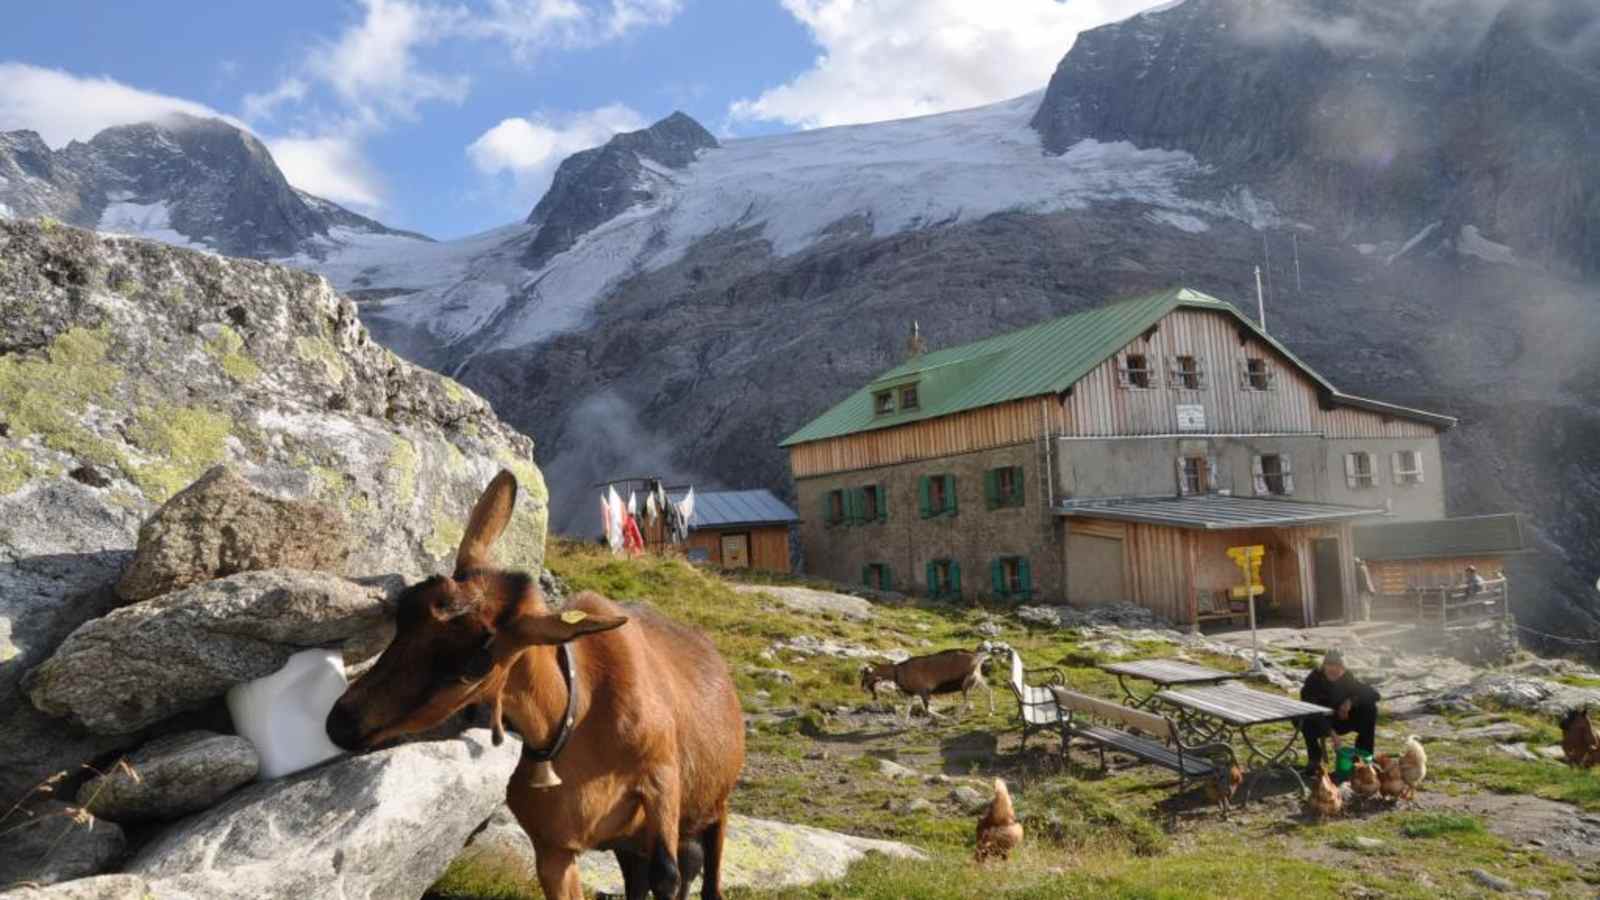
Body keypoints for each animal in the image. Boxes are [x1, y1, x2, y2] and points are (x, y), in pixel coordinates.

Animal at [329, 470, 748, 896]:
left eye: (476, 663)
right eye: (404, 612)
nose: (340, 723)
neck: (575, 715)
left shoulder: (662, 779)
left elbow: (667, 875)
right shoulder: (553, 847)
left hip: (715, 805)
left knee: (705, 874)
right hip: (632, 843)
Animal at [857, 643, 992, 720]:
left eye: (866, 676)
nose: (862, 688)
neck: (898, 671)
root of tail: (977, 657)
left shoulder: (924, 691)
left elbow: (927, 709)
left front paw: (944, 718)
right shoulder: (911, 694)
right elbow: (907, 710)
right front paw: (903, 724)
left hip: (966, 681)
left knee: (967, 701)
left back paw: (956, 716)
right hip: (977, 678)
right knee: (988, 691)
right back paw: (990, 711)